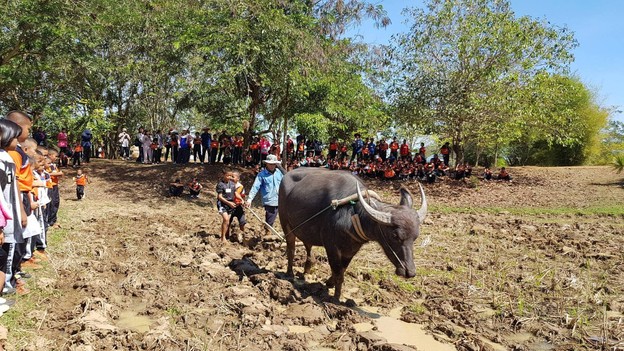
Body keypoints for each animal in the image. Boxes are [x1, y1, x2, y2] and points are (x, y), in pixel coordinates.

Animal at [280, 168, 426, 300]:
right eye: (395, 236)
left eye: (415, 237)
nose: (410, 272)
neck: (353, 214)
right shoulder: (331, 247)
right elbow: (338, 272)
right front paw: (336, 298)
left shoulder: (351, 250)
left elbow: (342, 270)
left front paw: (330, 283)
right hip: (285, 224)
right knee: (291, 248)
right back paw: (289, 273)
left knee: (308, 246)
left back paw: (306, 270)